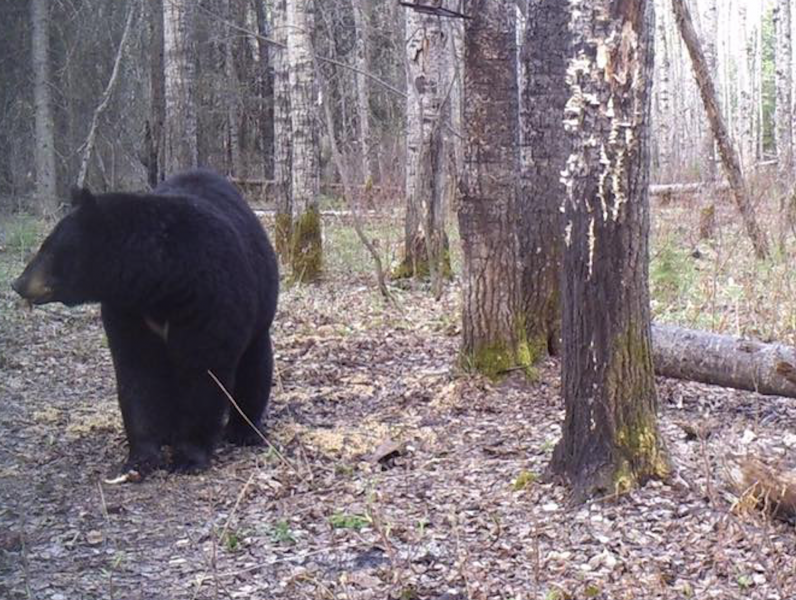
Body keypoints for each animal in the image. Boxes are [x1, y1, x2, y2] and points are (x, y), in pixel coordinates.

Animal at [10, 169, 280, 478]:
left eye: (48, 249)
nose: (17, 283)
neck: (159, 283)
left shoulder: (210, 300)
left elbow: (203, 372)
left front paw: (189, 457)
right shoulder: (128, 312)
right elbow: (138, 374)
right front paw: (142, 457)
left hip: (260, 302)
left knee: (254, 365)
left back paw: (244, 430)